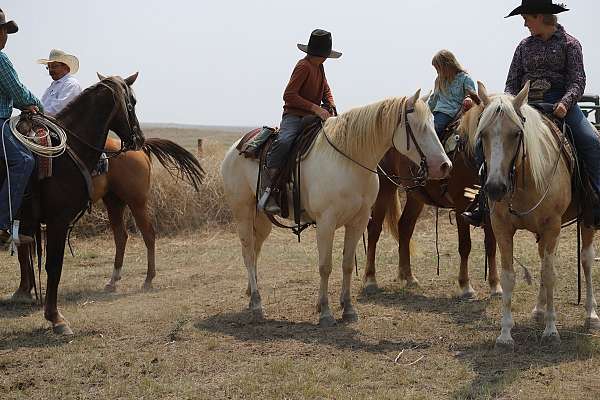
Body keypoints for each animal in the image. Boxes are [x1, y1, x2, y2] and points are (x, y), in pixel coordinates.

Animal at [10, 136, 204, 302]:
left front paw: (22, 291)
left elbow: (22, 253)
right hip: (114, 202)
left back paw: (148, 280)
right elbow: (23, 253)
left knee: (148, 234)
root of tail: (139, 148)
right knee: (121, 236)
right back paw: (113, 280)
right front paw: (25, 289)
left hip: (136, 202)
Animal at [220, 90, 450, 324]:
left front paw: (348, 308)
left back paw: (251, 294)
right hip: (242, 211)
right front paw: (325, 311)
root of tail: (235, 147)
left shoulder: (358, 221)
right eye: (417, 126)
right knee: (248, 253)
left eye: (432, 123)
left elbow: (347, 265)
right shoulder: (326, 223)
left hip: (262, 217)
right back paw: (257, 303)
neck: (349, 161)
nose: (444, 166)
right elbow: (325, 266)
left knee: (255, 250)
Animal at [366, 101, 502, 298]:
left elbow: (491, 244)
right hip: (385, 188)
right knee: (374, 229)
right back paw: (370, 279)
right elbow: (465, 245)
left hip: (416, 196)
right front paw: (466, 286)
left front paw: (495, 285)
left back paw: (409, 277)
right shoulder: (461, 206)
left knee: (405, 227)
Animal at [474, 81, 600, 350]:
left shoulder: (552, 227)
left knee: (585, 260)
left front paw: (551, 331)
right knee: (544, 259)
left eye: (516, 133)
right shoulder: (501, 228)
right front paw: (505, 333)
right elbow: (509, 276)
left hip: (586, 222)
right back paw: (539, 310)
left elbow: (550, 275)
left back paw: (591, 315)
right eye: (483, 134)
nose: (495, 188)